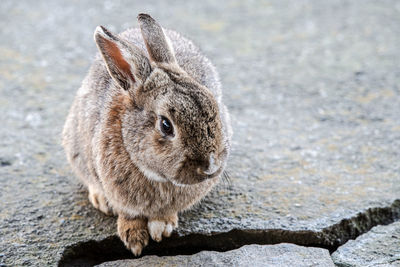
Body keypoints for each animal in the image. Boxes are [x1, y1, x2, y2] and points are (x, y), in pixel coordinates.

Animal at [61, 13, 231, 256]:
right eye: (166, 125)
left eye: (214, 108)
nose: (210, 167)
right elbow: (128, 214)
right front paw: (134, 239)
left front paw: (162, 228)